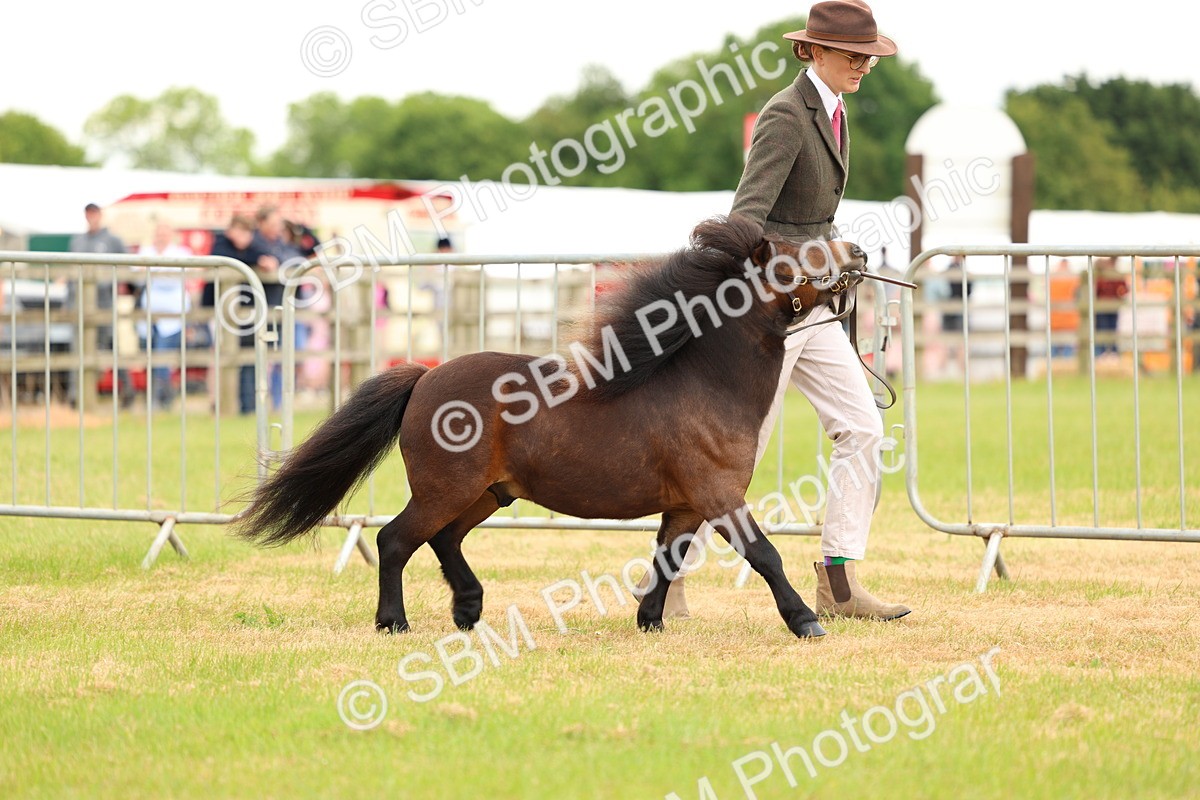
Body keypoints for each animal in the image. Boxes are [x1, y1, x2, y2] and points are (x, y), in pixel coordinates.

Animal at [234, 215, 868, 640]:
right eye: (796, 256)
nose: (858, 251)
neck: (705, 382)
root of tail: (425, 377)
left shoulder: (687, 506)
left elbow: (667, 561)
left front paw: (650, 621)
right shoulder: (718, 495)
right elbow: (765, 554)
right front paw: (806, 622)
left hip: (488, 494)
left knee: (444, 539)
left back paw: (468, 609)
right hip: (447, 488)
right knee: (395, 540)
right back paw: (395, 622)